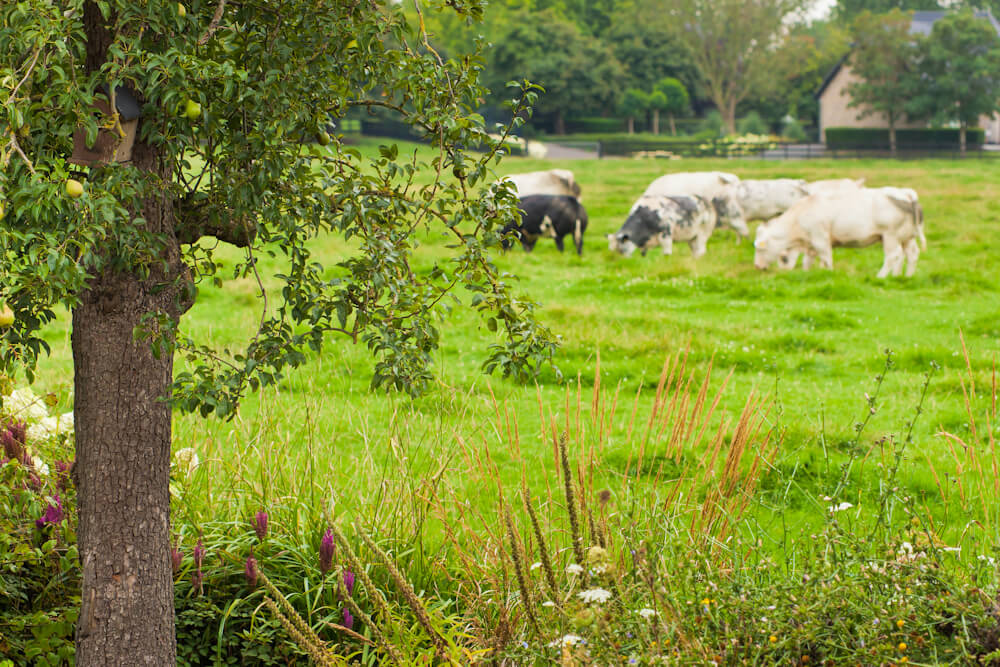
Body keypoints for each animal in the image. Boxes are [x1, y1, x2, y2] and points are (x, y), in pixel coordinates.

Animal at [752, 187, 924, 278]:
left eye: (760, 248)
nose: (758, 266)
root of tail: (905, 193)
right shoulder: (811, 245)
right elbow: (808, 261)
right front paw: (808, 274)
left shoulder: (820, 240)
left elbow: (826, 259)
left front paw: (829, 274)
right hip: (906, 238)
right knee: (911, 254)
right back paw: (906, 276)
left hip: (890, 237)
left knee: (893, 256)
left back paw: (880, 276)